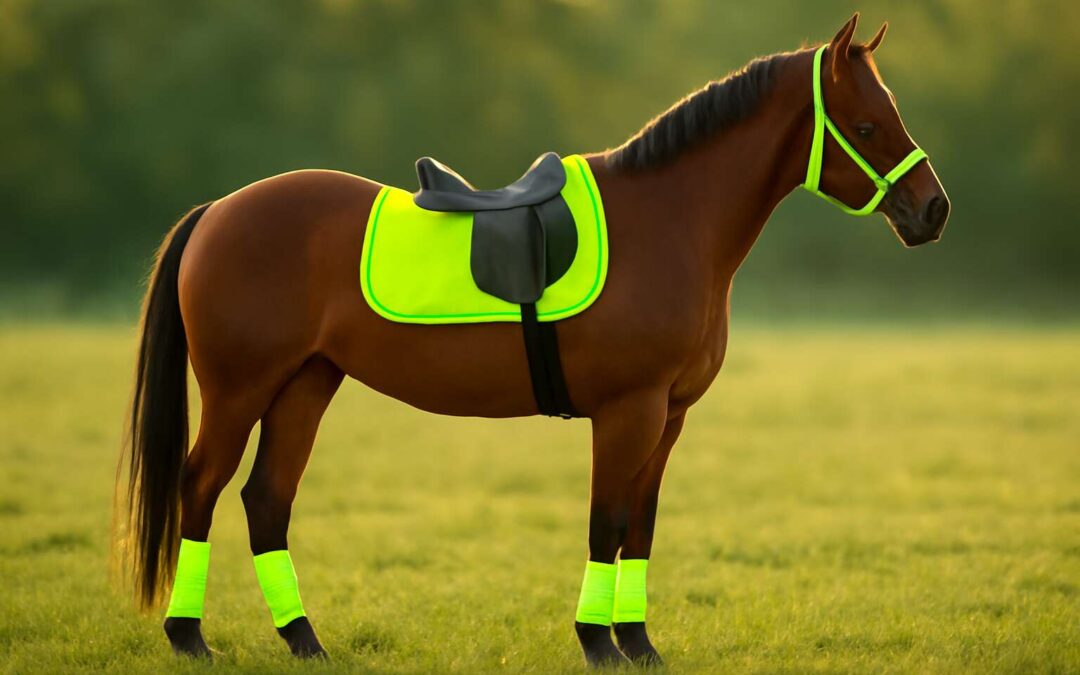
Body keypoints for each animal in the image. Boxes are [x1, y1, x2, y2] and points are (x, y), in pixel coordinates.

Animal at [118, 13, 949, 667]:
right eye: (867, 125)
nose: (932, 210)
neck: (670, 221)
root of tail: (220, 209)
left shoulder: (670, 416)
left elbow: (641, 524)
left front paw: (639, 644)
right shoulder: (627, 411)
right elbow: (606, 520)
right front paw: (598, 643)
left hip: (305, 383)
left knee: (267, 498)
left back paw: (304, 640)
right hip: (238, 389)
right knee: (201, 486)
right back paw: (190, 636)